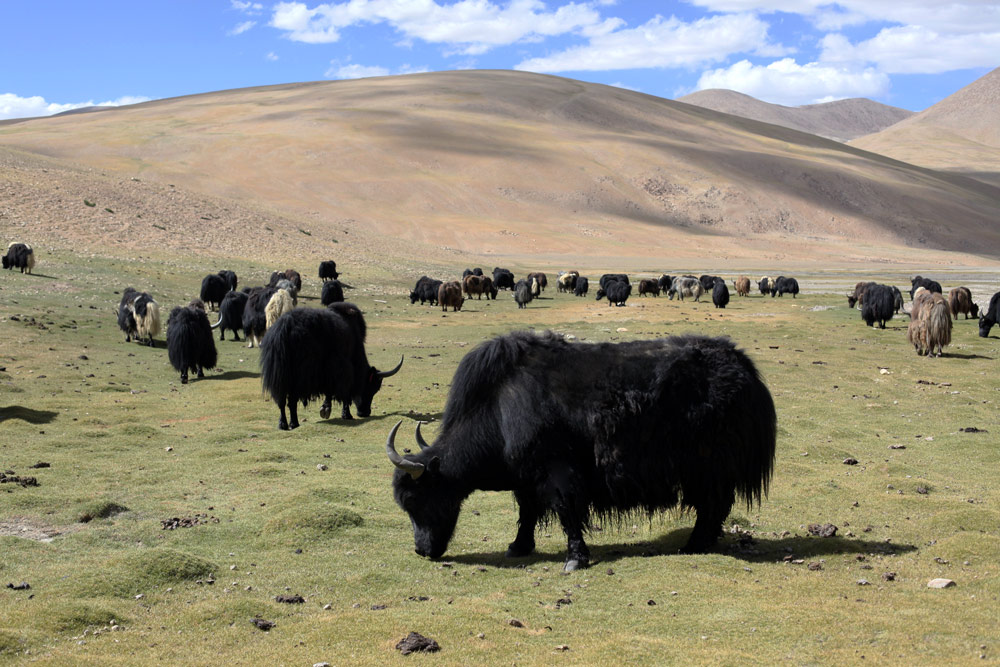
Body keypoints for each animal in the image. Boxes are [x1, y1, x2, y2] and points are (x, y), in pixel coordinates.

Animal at [259, 303, 402, 430]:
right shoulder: (342, 370)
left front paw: (327, 410)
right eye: (372, 388)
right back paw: (294, 423)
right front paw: (342, 414)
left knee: (281, 400)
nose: (365, 412)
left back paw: (283, 424)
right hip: (299, 376)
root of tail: (285, 327)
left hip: (280, 375)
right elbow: (343, 393)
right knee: (292, 400)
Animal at [386, 331, 776, 571]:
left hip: (710, 464)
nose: (422, 550)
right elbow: (527, 511)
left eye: (418, 500)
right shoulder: (526, 478)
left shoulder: (557, 470)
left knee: (713, 503)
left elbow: (566, 511)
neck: (499, 410)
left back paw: (694, 544)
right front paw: (518, 546)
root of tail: (746, 369)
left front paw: (574, 558)